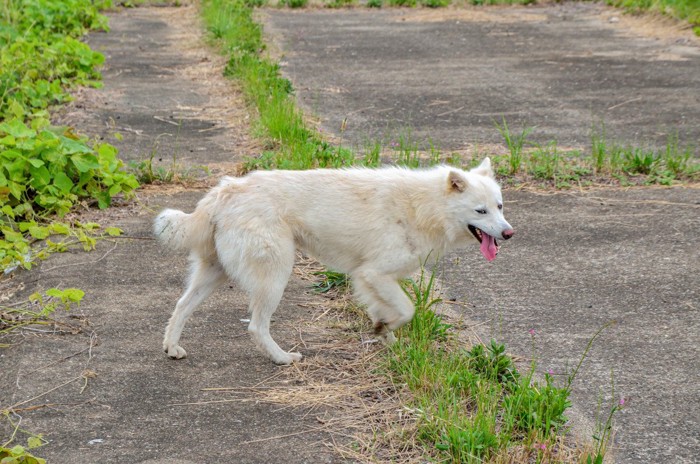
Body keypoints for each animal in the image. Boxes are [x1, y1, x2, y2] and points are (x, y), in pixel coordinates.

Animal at [154, 158, 516, 364]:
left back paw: (172, 347)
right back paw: (282, 358)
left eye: (499, 206)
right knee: (257, 326)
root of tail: (225, 191)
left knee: (181, 306)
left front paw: (386, 337)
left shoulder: (371, 280)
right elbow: (407, 310)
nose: (509, 233)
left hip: (214, 273)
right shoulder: (374, 273)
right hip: (275, 276)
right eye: (480, 211)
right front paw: (387, 332)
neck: (426, 207)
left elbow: (387, 312)